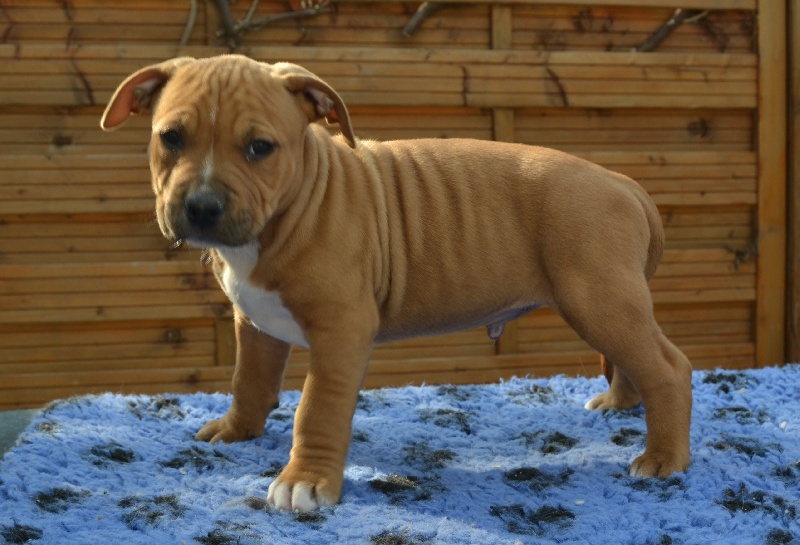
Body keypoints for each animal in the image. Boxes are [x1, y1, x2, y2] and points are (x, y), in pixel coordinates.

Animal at [101, 54, 693, 513]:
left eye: (260, 148)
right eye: (170, 138)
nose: (201, 207)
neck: (293, 205)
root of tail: (622, 182)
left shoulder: (341, 329)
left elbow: (316, 407)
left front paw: (304, 482)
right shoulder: (255, 322)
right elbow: (249, 379)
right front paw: (236, 430)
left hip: (597, 298)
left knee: (668, 368)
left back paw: (663, 458)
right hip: (606, 304)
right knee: (633, 360)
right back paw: (619, 404)